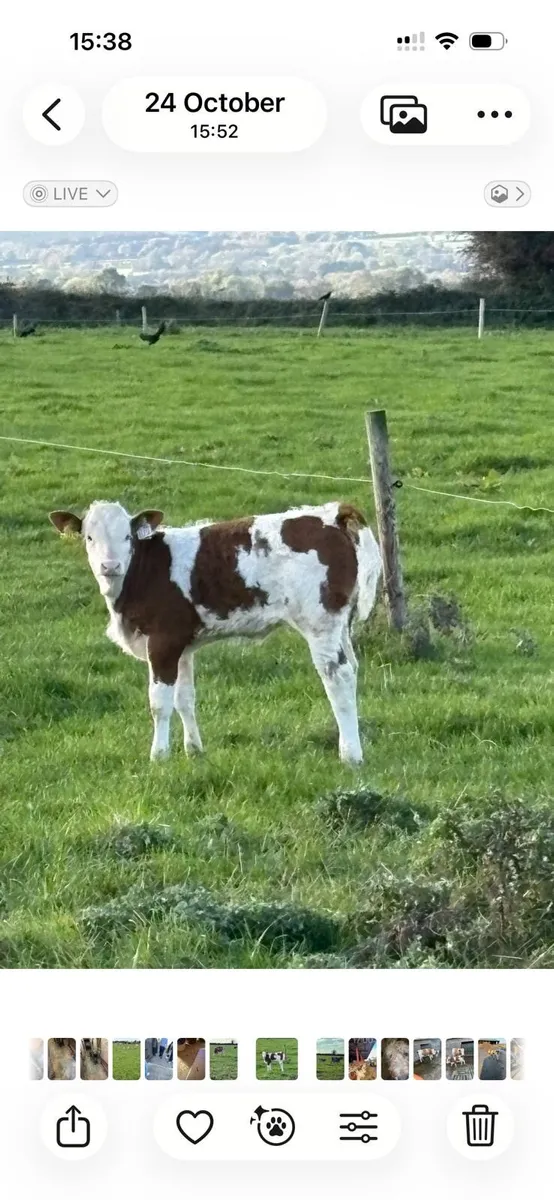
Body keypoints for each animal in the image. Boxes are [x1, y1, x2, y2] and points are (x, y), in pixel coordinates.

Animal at [49, 500, 381, 764]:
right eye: (89, 537)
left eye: (127, 536)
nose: (110, 565)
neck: (141, 574)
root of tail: (333, 512)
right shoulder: (181, 646)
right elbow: (184, 699)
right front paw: (193, 750)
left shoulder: (162, 643)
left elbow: (159, 703)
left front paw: (159, 756)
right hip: (341, 624)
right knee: (352, 668)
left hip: (319, 622)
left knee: (337, 676)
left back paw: (351, 755)